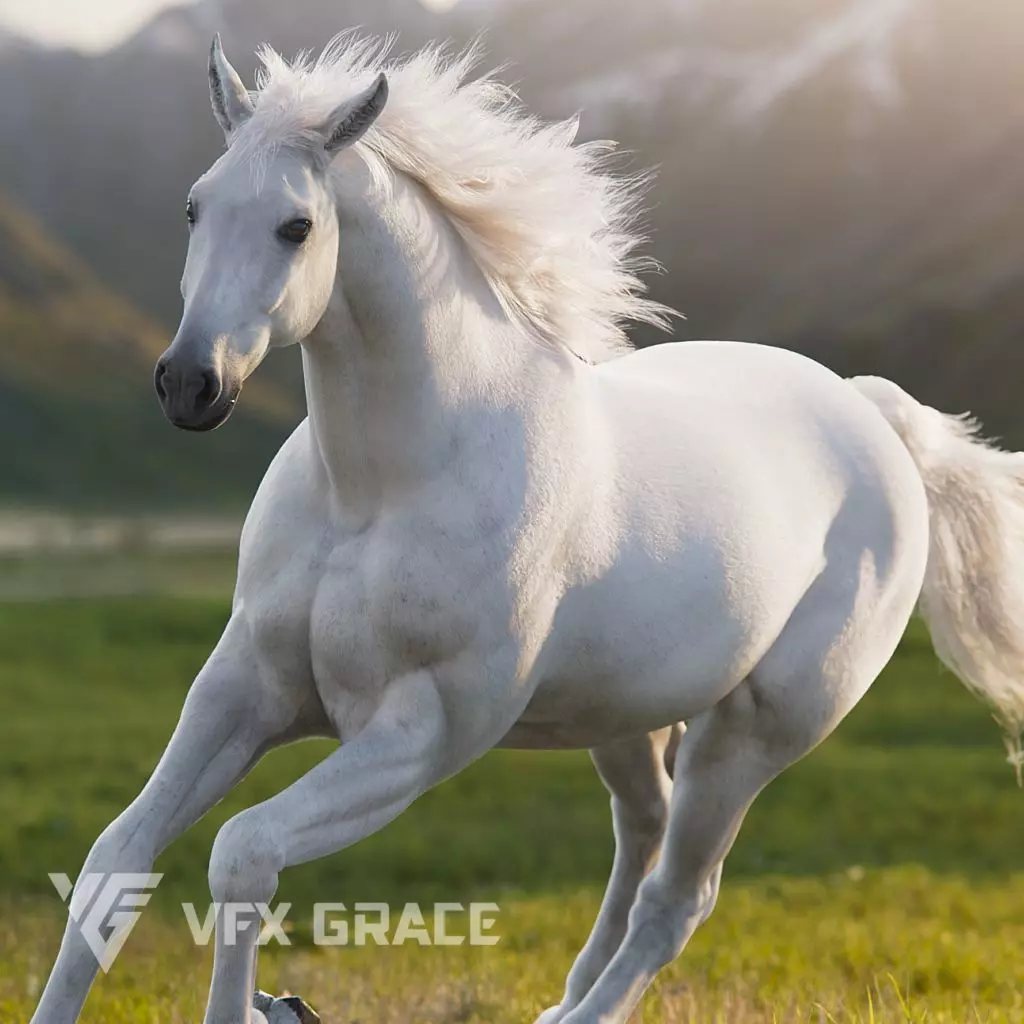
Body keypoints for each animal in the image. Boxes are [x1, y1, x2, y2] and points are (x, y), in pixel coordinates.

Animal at [32, 33, 1024, 1024]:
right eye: (194, 206)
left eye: (297, 227)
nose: (189, 384)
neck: (379, 491)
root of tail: (873, 415)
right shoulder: (244, 689)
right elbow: (115, 859)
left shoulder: (421, 733)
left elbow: (243, 854)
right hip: (624, 717)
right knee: (643, 833)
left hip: (751, 736)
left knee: (678, 899)